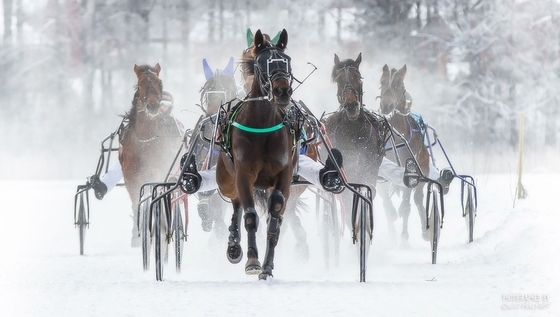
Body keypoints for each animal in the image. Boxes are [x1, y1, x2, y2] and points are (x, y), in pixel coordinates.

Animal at [119, 63, 183, 243]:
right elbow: (136, 200)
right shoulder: (131, 175)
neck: (146, 139)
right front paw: (136, 235)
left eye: (159, 82)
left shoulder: (160, 168)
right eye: (140, 84)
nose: (153, 106)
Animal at [217, 28, 300, 278]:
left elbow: (275, 216)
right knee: (235, 202)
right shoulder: (243, 173)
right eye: (263, 63)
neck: (262, 125)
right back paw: (234, 245)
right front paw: (253, 262)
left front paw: (267, 267)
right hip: (225, 177)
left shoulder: (284, 174)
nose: (283, 91)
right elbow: (250, 216)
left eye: (287, 60)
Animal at [378, 63, 430, 242]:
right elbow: (386, 202)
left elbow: (407, 204)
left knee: (418, 198)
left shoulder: (410, 170)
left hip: (424, 167)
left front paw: (404, 237)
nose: (386, 106)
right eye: (382, 82)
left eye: (399, 84)